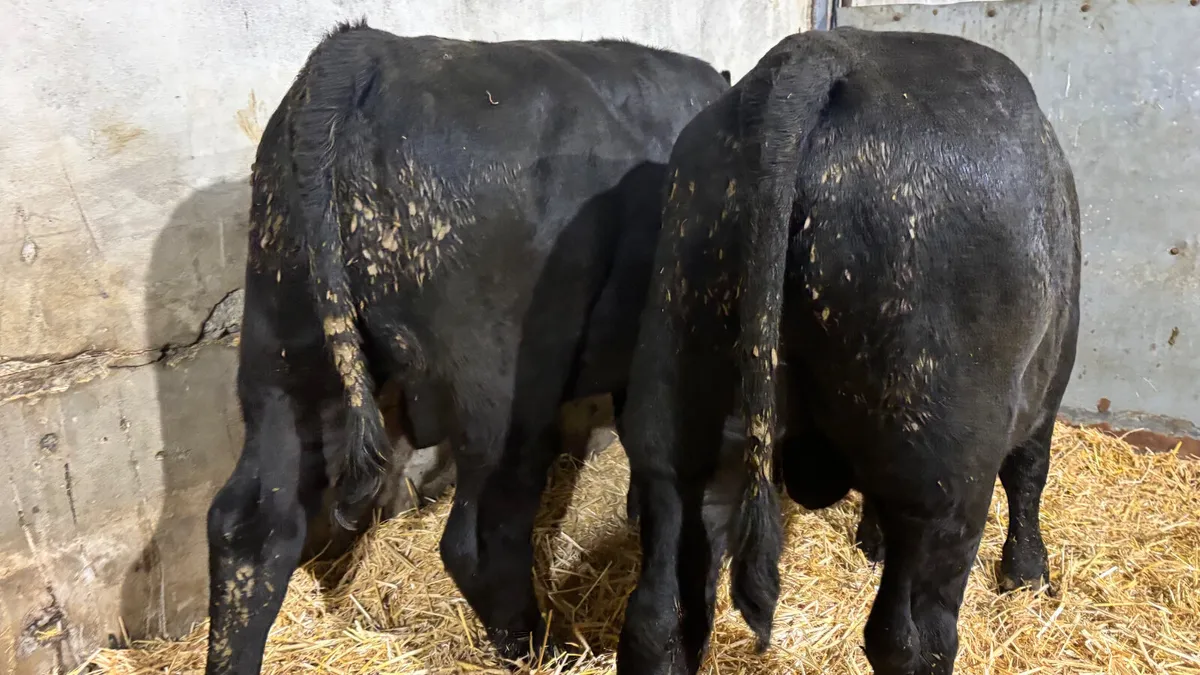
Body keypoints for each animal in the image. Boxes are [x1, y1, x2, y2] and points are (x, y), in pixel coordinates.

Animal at [203, 20, 729, 674]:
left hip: (282, 348)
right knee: (481, 538)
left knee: (252, 524)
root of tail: (361, 52)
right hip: (501, 388)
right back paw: (543, 648)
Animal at [617, 26, 1080, 675]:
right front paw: (1028, 573)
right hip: (943, 479)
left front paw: (872, 540)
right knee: (911, 636)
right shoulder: (1053, 371)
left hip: (676, 403)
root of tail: (824, 52)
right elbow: (1030, 470)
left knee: (656, 619)